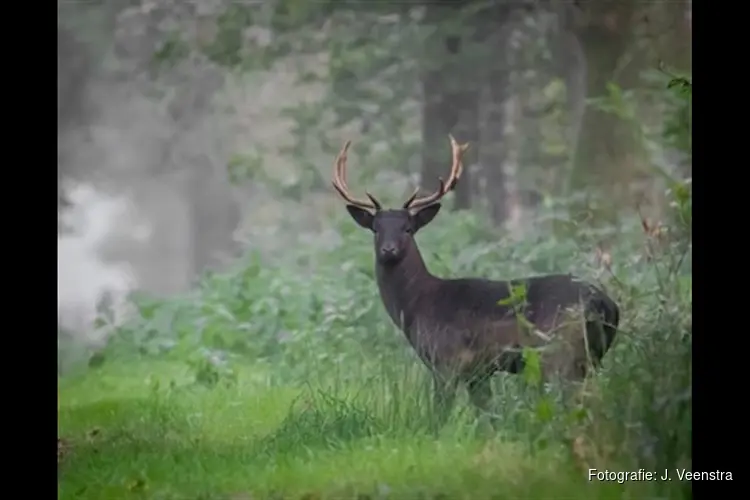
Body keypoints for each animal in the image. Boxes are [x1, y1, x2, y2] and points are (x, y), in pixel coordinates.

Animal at [332, 135, 620, 428]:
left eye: (408, 229)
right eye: (376, 229)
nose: (388, 250)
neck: (417, 306)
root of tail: (606, 305)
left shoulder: (446, 359)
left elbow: (440, 412)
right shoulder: (478, 372)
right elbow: (488, 413)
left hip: (560, 351)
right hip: (592, 356)